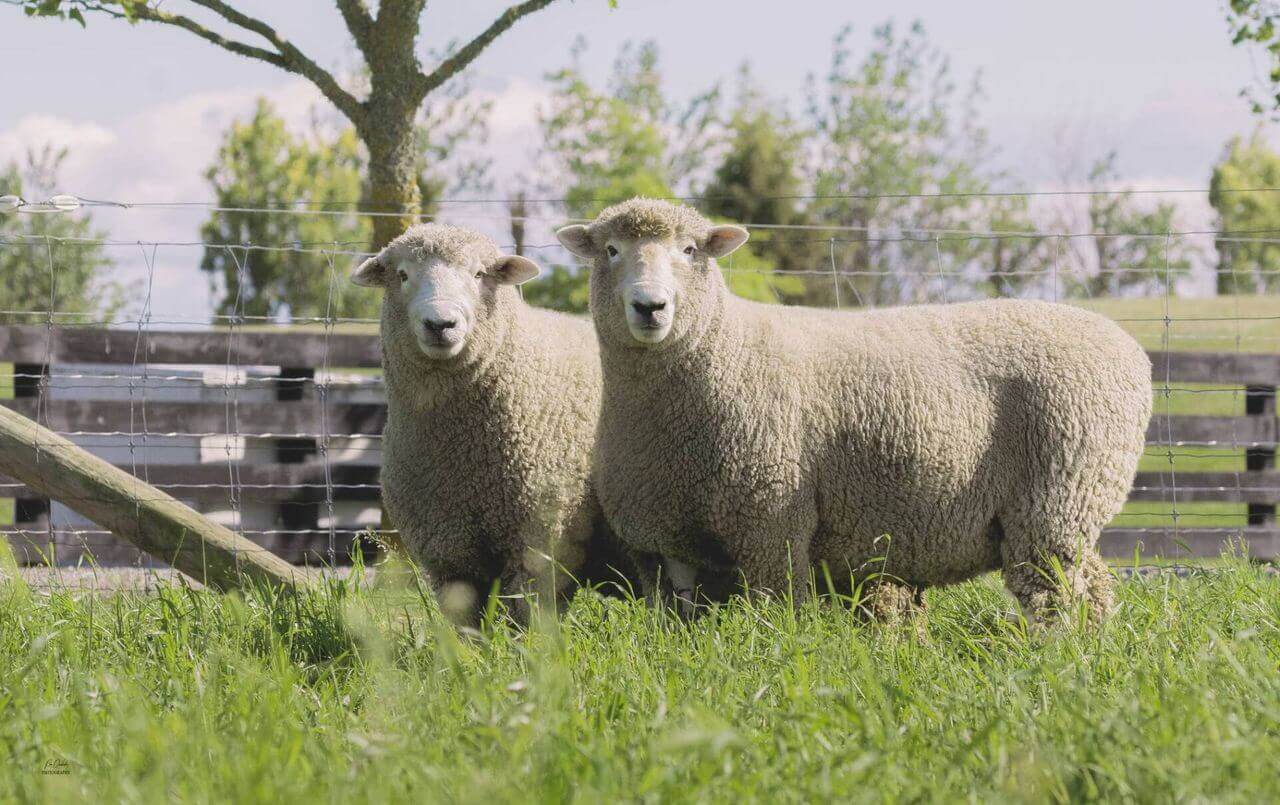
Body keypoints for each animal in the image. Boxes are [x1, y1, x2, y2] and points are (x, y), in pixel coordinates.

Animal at [352, 223, 635, 627]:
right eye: (402, 275)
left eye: (478, 274)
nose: (440, 324)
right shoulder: (447, 549)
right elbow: (466, 624)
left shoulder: (539, 541)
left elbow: (523, 619)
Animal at [556, 198, 1152, 624]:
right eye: (611, 250)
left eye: (688, 250)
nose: (650, 307)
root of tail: (1131, 350)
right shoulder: (665, 540)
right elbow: (681, 632)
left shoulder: (771, 520)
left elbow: (778, 613)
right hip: (1067, 512)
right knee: (1095, 589)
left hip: (1057, 497)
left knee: (1053, 598)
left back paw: (1055, 661)